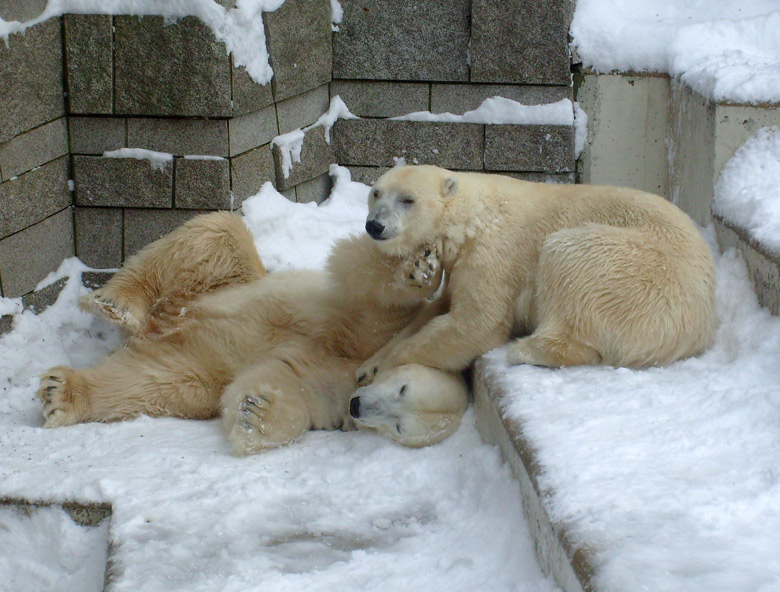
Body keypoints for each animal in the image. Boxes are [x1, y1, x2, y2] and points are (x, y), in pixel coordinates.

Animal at [36, 213, 466, 454]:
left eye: (401, 425)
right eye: (403, 389)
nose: (360, 407)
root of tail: (162, 324)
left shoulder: (332, 388)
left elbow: (284, 383)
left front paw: (255, 414)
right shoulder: (371, 327)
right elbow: (368, 291)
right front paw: (420, 266)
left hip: (193, 357)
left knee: (157, 381)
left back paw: (64, 393)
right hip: (224, 282)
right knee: (216, 233)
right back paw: (116, 303)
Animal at [356, 164, 716, 382]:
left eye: (408, 199)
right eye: (376, 192)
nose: (374, 225)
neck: (473, 215)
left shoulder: (494, 254)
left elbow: (476, 323)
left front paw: (380, 372)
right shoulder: (461, 263)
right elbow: (438, 308)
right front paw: (367, 365)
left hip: (632, 269)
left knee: (568, 261)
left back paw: (527, 350)